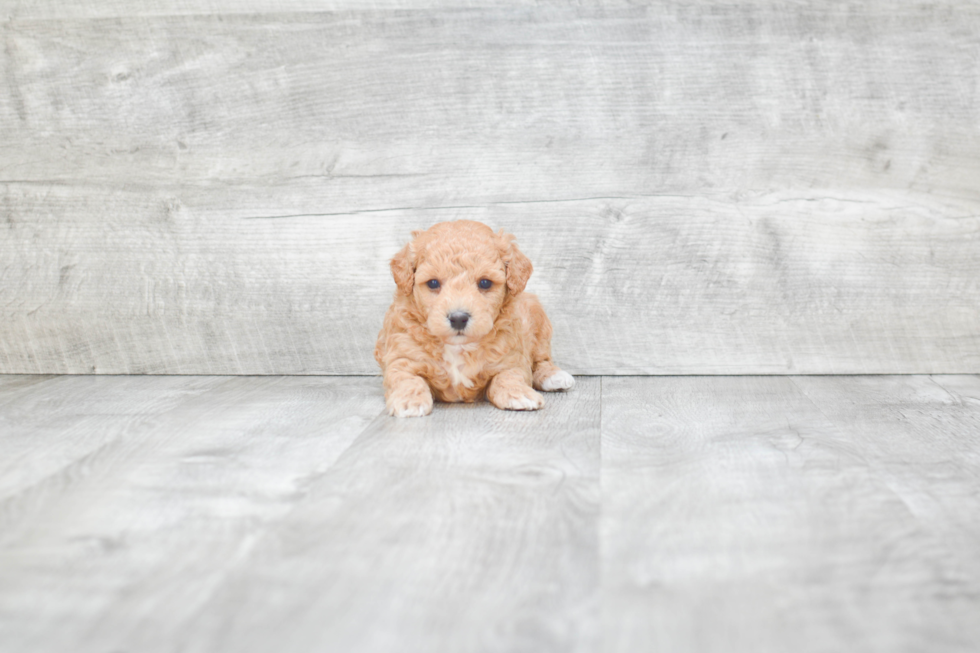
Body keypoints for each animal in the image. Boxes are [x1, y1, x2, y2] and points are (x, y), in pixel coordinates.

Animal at [376, 220, 576, 418]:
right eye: (433, 283)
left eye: (485, 283)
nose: (458, 318)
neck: (458, 347)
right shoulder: (402, 357)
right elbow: (407, 378)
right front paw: (409, 401)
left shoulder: (511, 359)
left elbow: (508, 375)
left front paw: (518, 393)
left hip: (539, 321)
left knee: (542, 359)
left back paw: (554, 376)